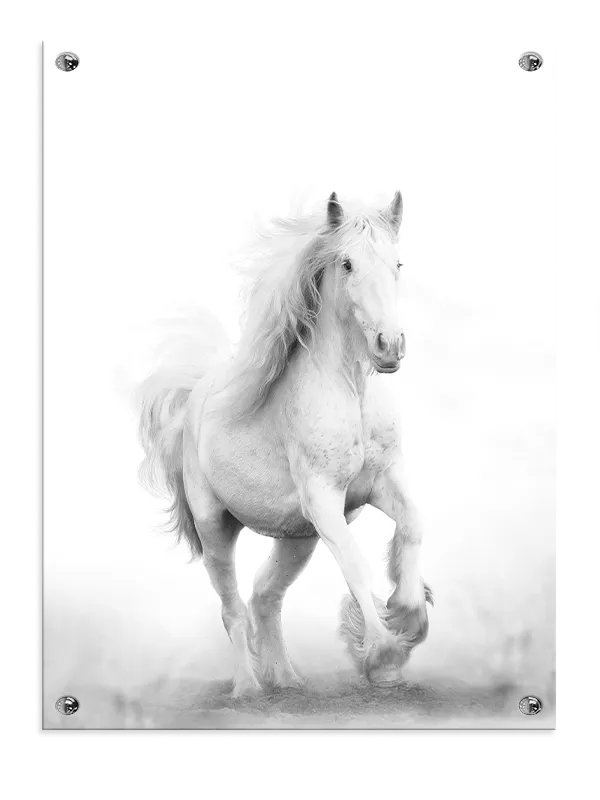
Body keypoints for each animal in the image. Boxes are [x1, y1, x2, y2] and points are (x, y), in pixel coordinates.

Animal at [137, 191, 433, 696]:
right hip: (216, 529)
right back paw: (248, 689)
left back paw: (289, 681)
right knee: (233, 609)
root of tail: (194, 400)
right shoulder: (324, 500)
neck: (350, 393)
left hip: (298, 539)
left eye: (397, 263)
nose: (389, 346)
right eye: (348, 263)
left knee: (265, 596)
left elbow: (413, 524)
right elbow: (355, 566)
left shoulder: (380, 483)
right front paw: (383, 657)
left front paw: (407, 613)